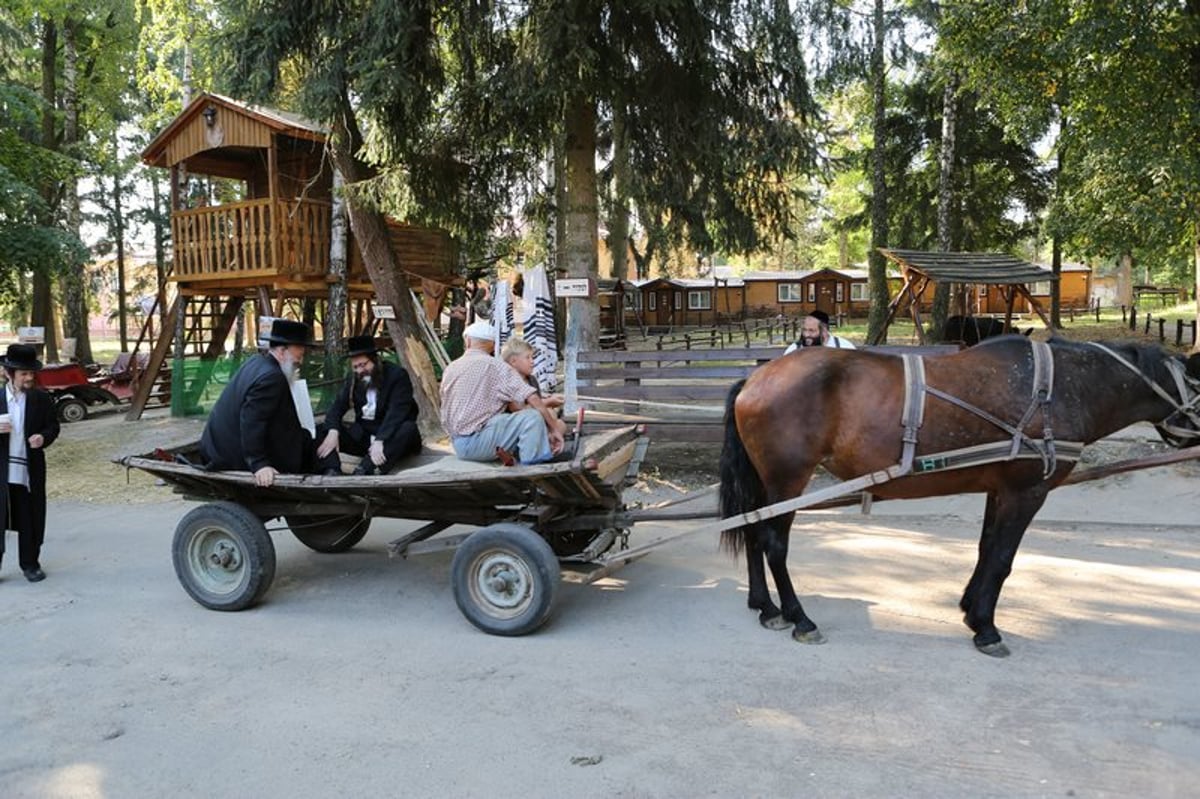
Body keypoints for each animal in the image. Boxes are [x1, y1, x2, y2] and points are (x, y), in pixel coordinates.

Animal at [715, 333, 1195, 652]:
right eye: (1195, 381)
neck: (1055, 388)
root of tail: (755, 378)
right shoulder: (1027, 492)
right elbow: (1002, 559)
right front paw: (986, 628)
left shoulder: (999, 489)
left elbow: (986, 550)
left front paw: (970, 608)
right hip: (786, 481)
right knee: (774, 544)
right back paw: (798, 617)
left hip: (767, 483)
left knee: (754, 534)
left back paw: (766, 606)